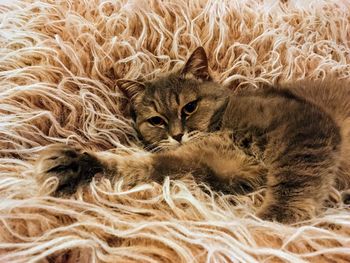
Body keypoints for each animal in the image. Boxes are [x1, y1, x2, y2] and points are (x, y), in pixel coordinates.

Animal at [34, 48, 350, 225]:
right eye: (157, 120)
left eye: (189, 107)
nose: (177, 135)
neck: (219, 127)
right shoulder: (200, 167)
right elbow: (133, 166)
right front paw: (78, 164)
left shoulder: (303, 126)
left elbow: (295, 180)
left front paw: (271, 221)